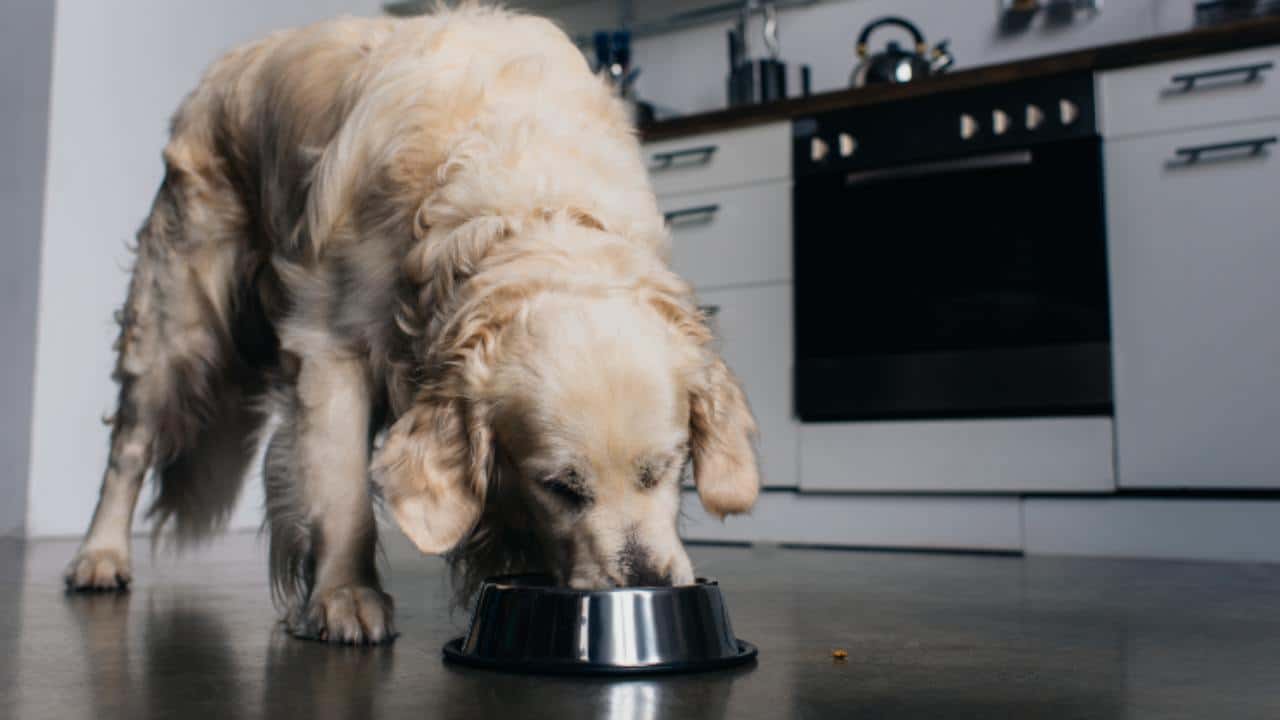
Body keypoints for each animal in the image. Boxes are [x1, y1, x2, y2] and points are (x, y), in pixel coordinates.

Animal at [62, 2, 757, 640]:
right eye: (560, 486)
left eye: (666, 470)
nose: (648, 584)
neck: (528, 202)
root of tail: (221, 72)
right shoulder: (329, 348)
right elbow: (342, 491)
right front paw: (345, 598)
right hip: (175, 322)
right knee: (129, 448)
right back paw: (99, 556)